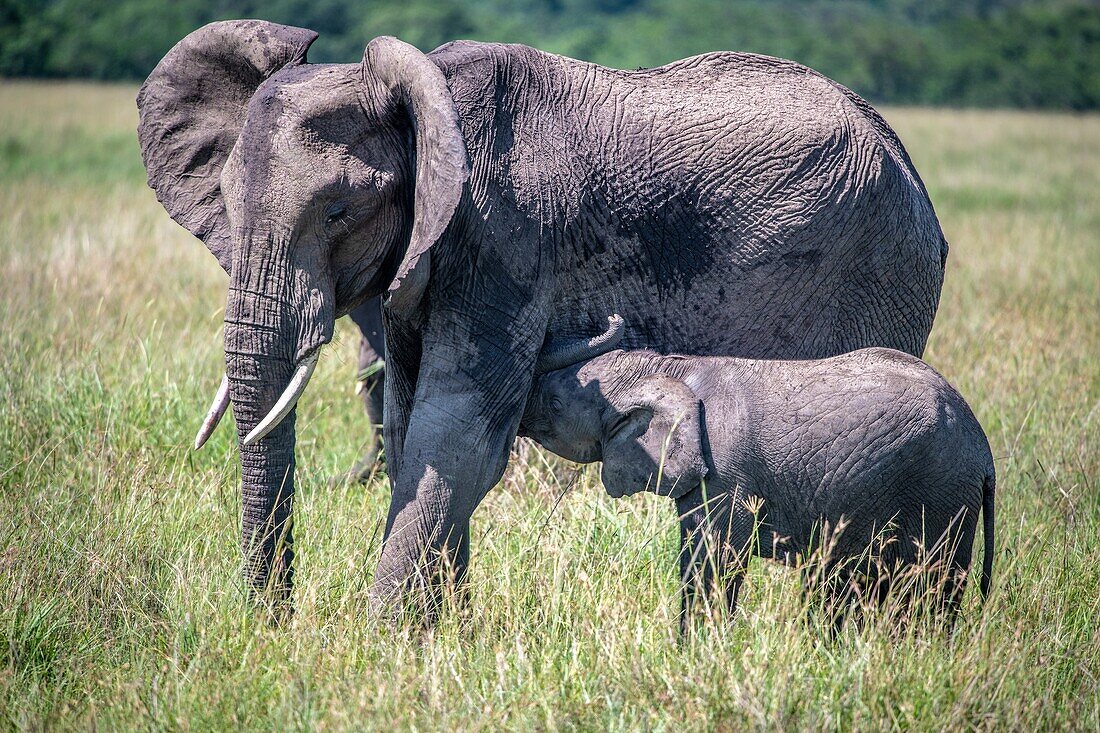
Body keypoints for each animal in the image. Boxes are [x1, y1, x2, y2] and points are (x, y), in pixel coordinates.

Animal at [135, 18, 946, 611]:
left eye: (338, 210)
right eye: (224, 201)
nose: (270, 622)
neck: (422, 97)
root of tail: (908, 162)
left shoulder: (507, 237)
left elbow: (455, 431)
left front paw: (385, 643)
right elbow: (411, 425)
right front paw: (440, 636)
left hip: (877, 269)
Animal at [523, 319, 998, 629]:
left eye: (554, 403)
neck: (668, 370)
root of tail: (984, 451)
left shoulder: (725, 474)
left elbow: (710, 561)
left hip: (939, 491)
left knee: (929, 587)